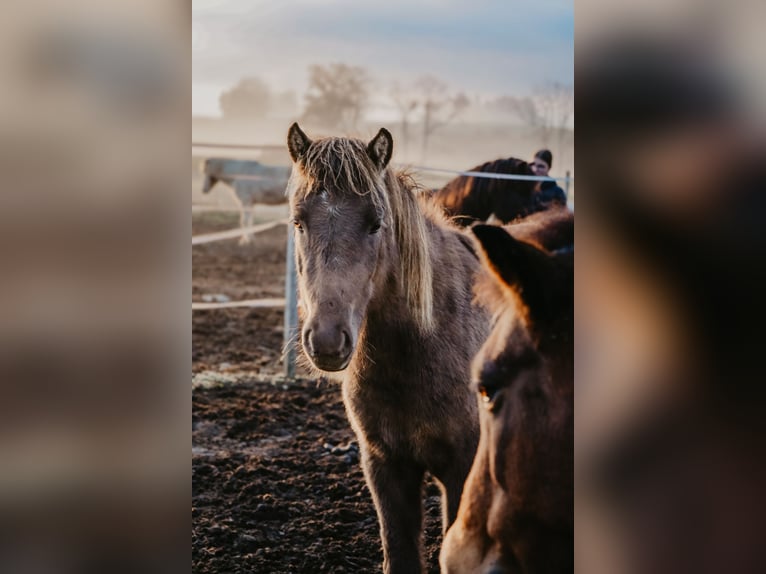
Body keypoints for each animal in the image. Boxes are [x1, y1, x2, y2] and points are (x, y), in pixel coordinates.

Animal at [286, 124, 492, 572]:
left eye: (375, 224)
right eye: (298, 222)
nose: (327, 340)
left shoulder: (462, 470)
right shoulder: (385, 465)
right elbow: (399, 553)